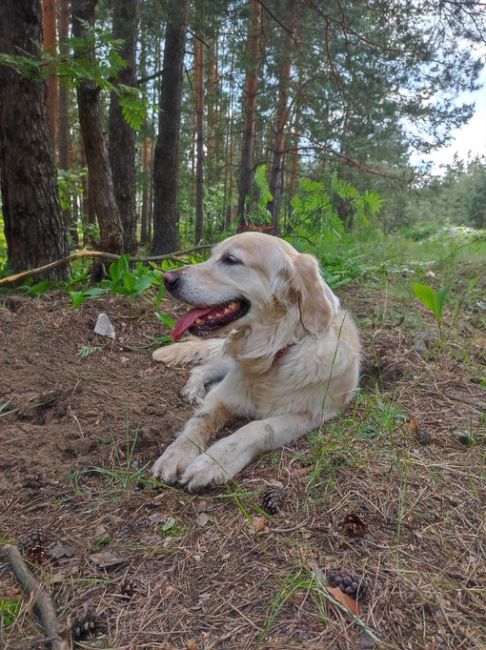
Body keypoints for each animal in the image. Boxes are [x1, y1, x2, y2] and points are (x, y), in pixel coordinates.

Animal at [152, 230, 360, 488]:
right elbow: (198, 422)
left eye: (231, 260)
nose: (167, 278)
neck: (277, 350)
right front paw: (175, 454)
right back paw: (193, 389)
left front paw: (213, 461)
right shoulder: (221, 396)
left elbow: (257, 428)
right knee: (202, 368)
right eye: (211, 256)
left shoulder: (310, 414)